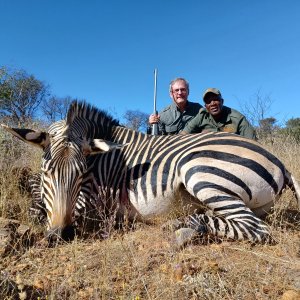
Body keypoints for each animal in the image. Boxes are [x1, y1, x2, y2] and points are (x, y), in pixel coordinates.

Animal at [1, 101, 298, 244]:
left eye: (83, 174)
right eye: (47, 172)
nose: (60, 235)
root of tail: (280, 162)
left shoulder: (94, 198)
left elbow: (39, 208)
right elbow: (36, 194)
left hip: (199, 172)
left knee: (257, 229)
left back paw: (180, 228)